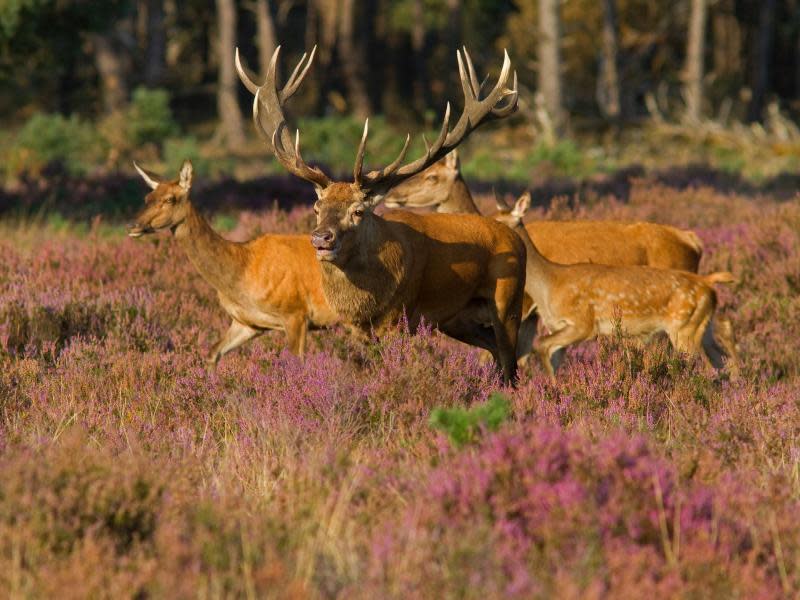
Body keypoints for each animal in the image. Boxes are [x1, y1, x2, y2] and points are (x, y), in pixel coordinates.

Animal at [127, 161, 338, 366]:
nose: (133, 226)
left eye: (170, 199)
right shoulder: (247, 323)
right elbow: (213, 352)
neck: (242, 270)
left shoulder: (296, 313)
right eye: (147, 197)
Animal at [234, 44, 528, 382]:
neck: (367, 304)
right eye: (317, 207)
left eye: (358, 211)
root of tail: (517, 239)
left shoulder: (401, 319)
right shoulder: (357, 329)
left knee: (510, 360)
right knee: (493, 351)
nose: (321, 238)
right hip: (458, 319)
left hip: (508, 301)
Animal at [490, 192, 740, 380]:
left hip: (683, 328)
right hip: (700, 327)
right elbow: (547, 354)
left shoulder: (583, 323)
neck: (549, 282)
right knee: (720, 355)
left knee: (703, 363)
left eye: (500, 222)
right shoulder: (557, 325)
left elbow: (539, 347)